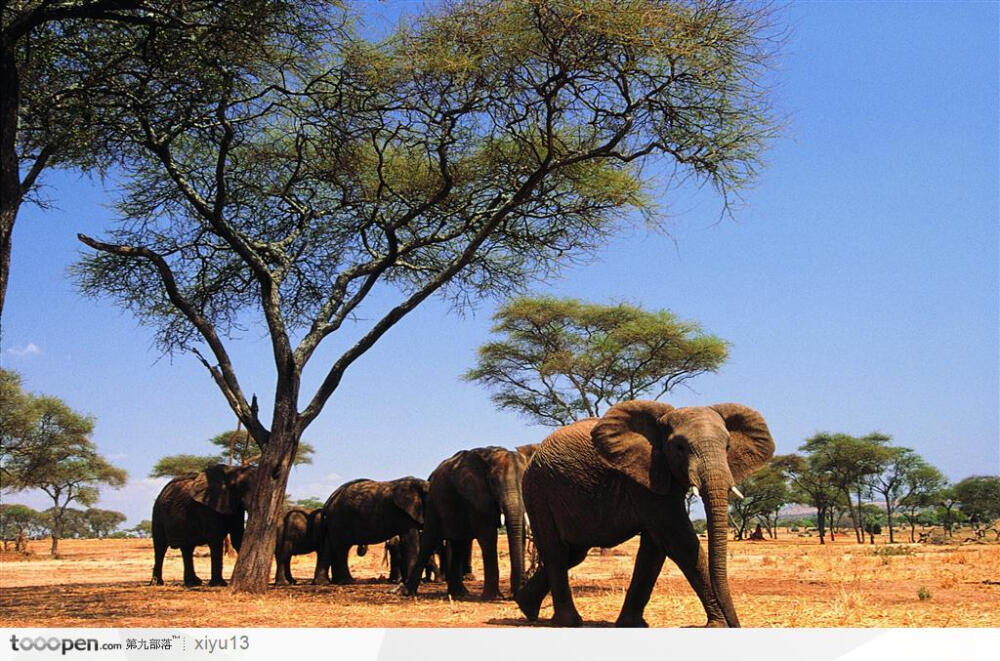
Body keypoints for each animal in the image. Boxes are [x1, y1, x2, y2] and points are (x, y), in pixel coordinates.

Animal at [404, 444, 536, 600]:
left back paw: (459, 593)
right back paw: (409, 593)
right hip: (432, 502)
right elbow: (488, 537)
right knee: (429, 541)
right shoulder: (474, 495)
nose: (512, 596)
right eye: (493, 482)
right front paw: (493, 597)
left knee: (459, 544)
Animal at [516, 400, 772, 628]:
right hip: (538, 492)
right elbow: (678, 541)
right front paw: (719, 625)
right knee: (556, 551)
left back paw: (526, 606)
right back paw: (567, 622)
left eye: (728, 447)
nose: (736, 625)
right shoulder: (645, 478)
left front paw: (632, 625)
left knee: (574, 553)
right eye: (679, 447)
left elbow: (655, 549)